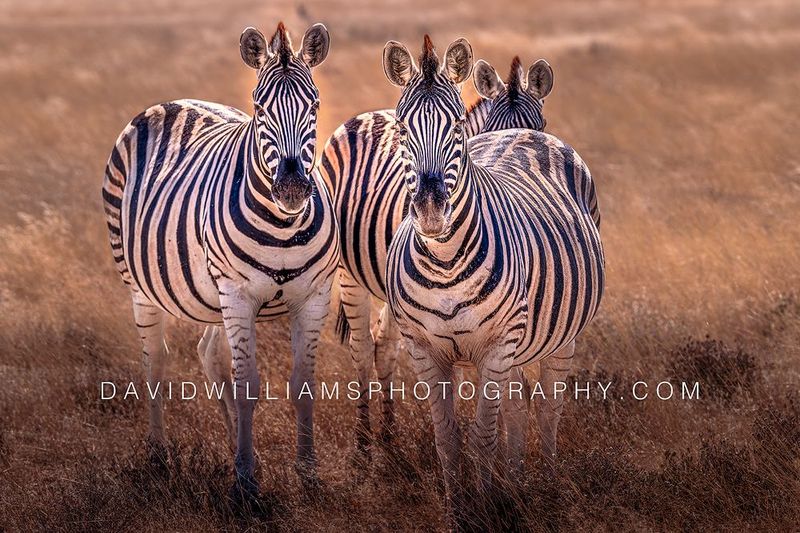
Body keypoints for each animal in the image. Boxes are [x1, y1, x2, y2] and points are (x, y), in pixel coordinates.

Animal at [101, 22, 337, 500]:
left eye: (315, 104)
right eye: (260, 109)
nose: (291, 189)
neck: (283, 226)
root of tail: (171, 102)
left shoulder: (313, 296)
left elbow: (303, 385)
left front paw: (306, 473)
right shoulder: (239, 293)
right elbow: (247, 385)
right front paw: (245, 483)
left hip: (211, 296)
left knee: (209, 354)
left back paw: (236, 448)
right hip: (143, 286)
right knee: (155, 361)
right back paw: (160, 456)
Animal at [319, 55, 558, 453]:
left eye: (539, 127)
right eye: (489, 130)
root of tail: (365, 115)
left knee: (384, 346)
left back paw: (388, 437)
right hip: (349, 274)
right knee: (361, 348)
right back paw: (364, 445)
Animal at [382, 36, 604, 514]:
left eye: (455, 131)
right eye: (403, 130)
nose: (431, 211)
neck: (444, 262)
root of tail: (520, 135)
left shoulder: (497, 344)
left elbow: (483, 434)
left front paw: (484, 510)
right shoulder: (423, 349)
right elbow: (447, 438)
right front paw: (458, 510)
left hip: (560, 336)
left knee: (548, 407)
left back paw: (547, 482)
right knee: (519, 405)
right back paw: (516, 481)